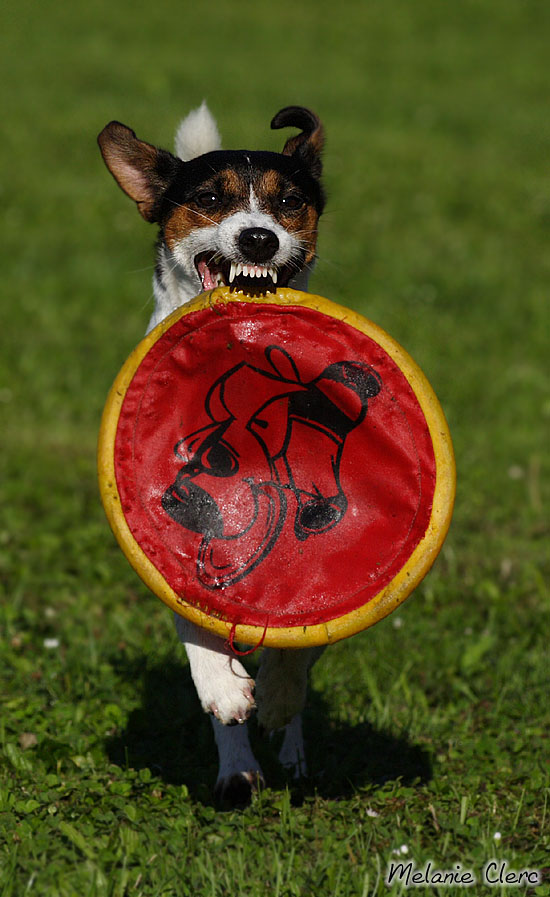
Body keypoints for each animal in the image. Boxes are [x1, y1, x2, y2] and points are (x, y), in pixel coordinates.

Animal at [97, 103, 330, 800]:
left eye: (288, 203)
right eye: (206, 200)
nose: (258, 240)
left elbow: (296, 645)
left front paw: (279, 696)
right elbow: (198, 628)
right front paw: (226, 693)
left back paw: (290, 747)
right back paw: (238, 767)